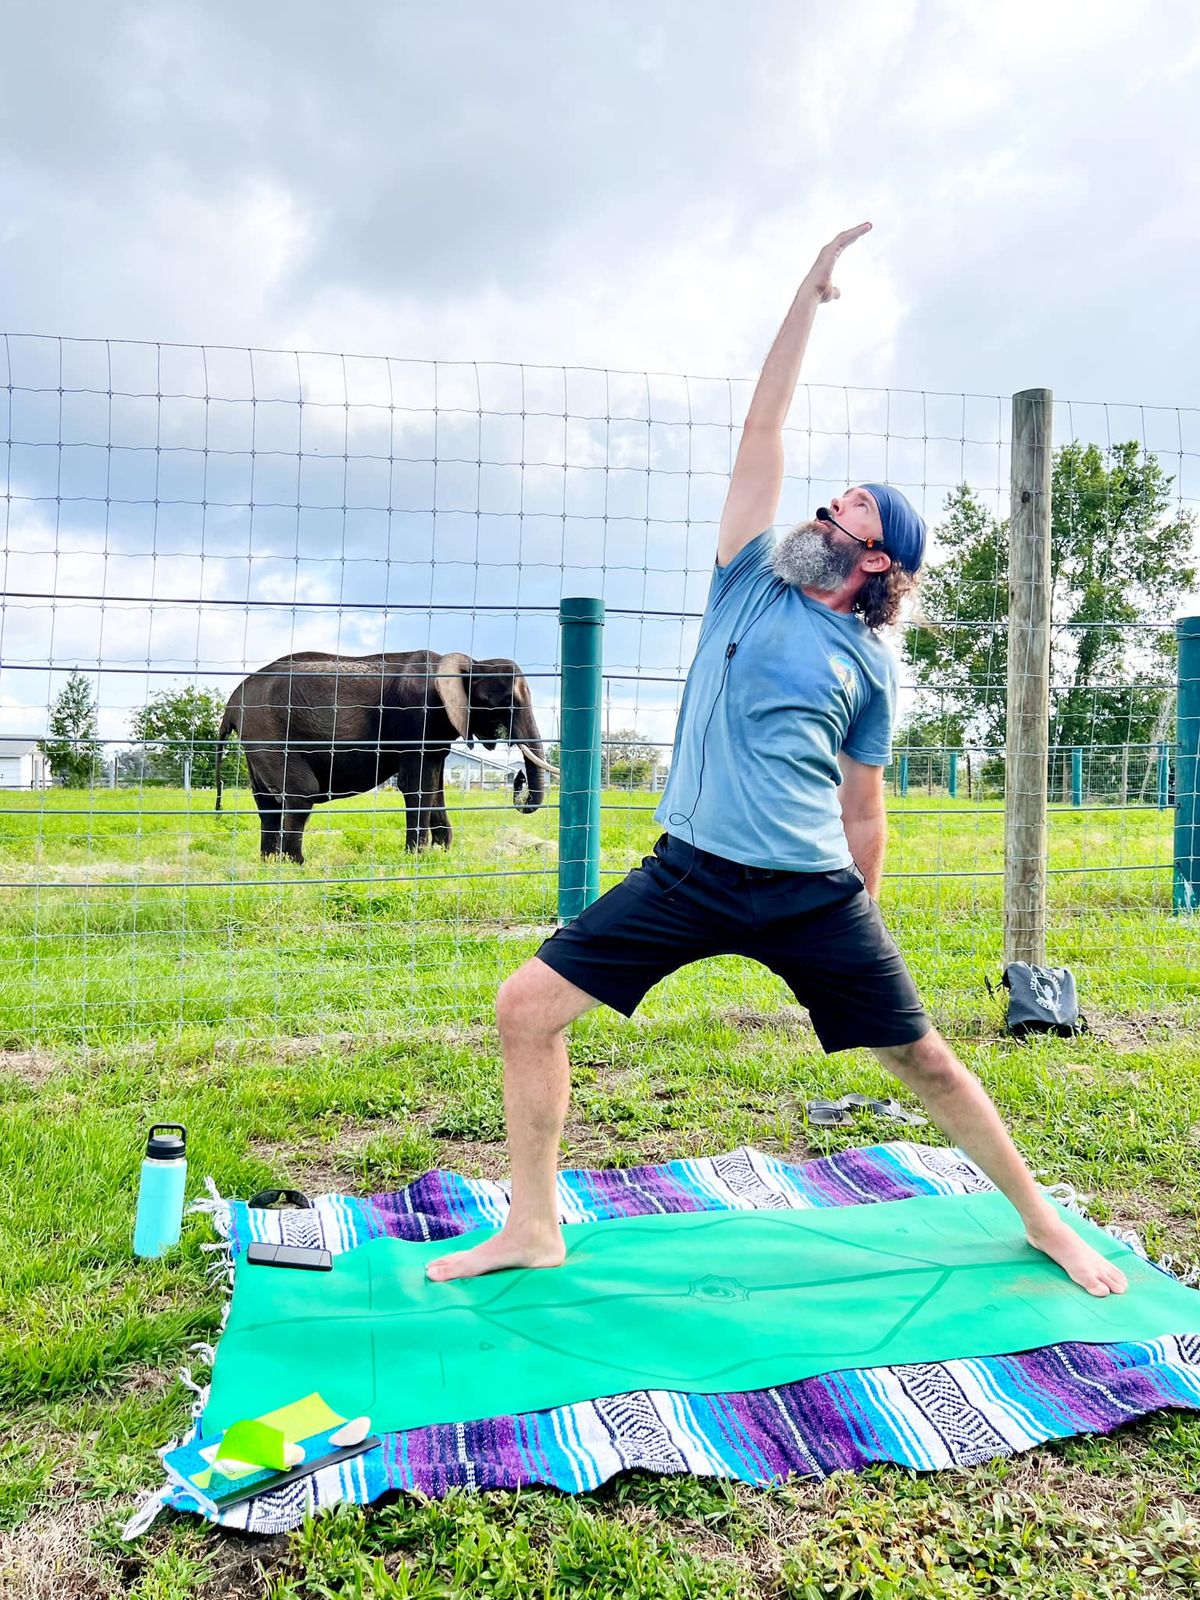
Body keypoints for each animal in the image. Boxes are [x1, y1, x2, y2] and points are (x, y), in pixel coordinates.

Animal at [216, 649, 553, 864]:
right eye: (503, 701)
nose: (518, 779)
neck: (470, 662)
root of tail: (232, 701)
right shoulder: (417, 716)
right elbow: (417, 785)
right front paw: (418, 857)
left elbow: (434, 784)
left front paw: (442, 854)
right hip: (269, 729)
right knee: (301, 794)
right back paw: (296, 865)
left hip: (257, 738)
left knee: (267, 802)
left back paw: (269, 863)